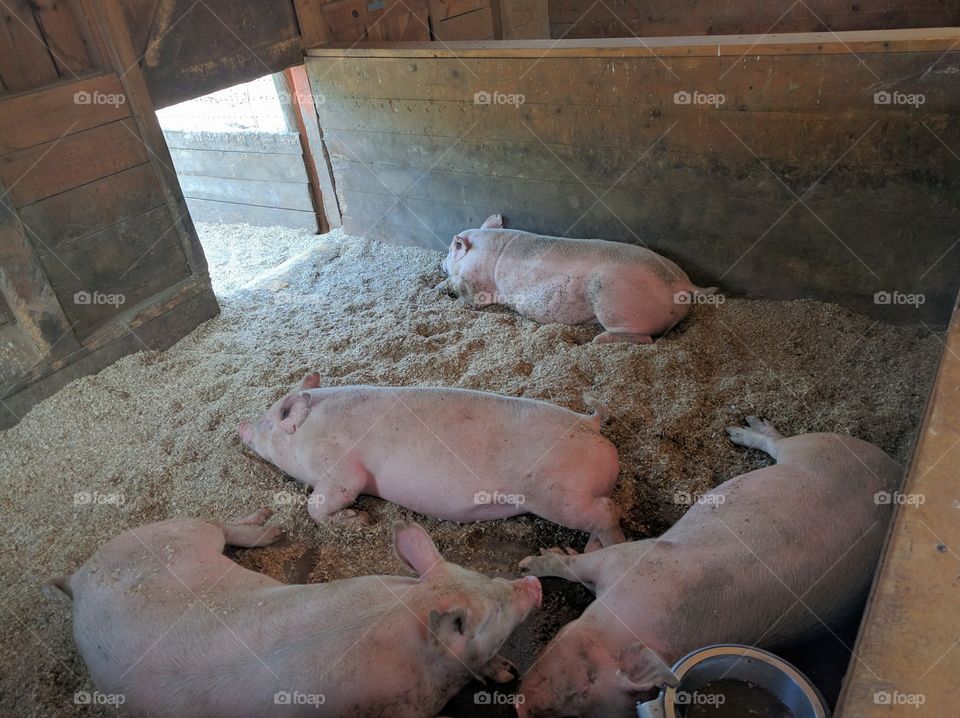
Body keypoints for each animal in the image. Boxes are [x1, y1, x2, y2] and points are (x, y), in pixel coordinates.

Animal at [43, 510, 542, 717]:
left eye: (484, 576)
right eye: (494, 612)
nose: (533, 585)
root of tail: (79, 578)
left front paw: (507, 672)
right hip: (175, 532)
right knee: (220, 525)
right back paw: (274, 526)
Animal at [239, 374, 625, 549]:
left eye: (269, 421)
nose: (242, 426)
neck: (308, 433)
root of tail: (590, 423)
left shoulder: (339, 465)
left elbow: (319, 504)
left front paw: (362, 520)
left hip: (556, 494)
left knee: (609, 512)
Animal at [437, 214, 716, 344]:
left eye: (451, 251)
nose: (440, 264)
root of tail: (682, 284)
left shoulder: (476, 286)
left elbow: (467, 294)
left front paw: (440, 286)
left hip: (617, 308)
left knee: (642, 337)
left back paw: (596, 340)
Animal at [515, 417, 902, 717]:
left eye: (582, 692)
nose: (522, 708)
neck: (622, 618)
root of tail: (894, 473)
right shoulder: (631, 558)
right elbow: (574, 564)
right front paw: (528, 564)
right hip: (818, 445)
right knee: (777, 443)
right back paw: (742, 429)